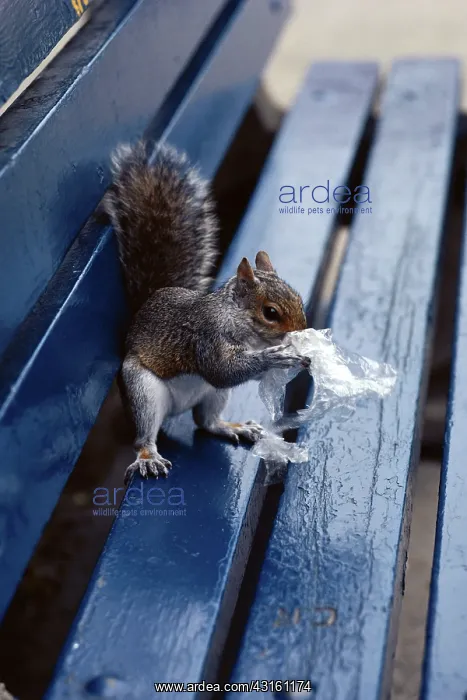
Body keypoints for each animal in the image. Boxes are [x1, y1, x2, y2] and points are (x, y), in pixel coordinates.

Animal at [103, 142, 310, 484]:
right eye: (270, 312)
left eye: (299, 299)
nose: (304, 332)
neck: (246, 329)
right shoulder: (206, 338)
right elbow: (223, 371)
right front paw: (276, 357)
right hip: (142, 391)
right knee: (145, 433)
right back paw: (148, 456)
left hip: (214, 396)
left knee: (206, 422)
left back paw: (233, 426)